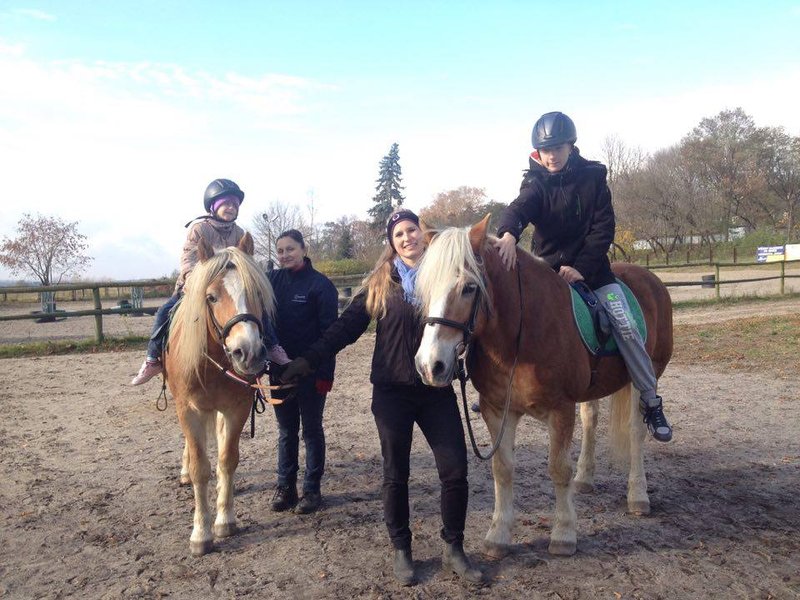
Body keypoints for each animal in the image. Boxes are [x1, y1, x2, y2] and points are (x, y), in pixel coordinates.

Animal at [164, 233, 275, 556]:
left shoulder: (237, 408)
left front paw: (225, 520)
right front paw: (201, 534)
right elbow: (200, 468)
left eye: (257, 293)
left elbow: (227, 459)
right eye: (211, 297)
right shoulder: (187, 410)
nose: (248, 352)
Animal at [414, 216, 673, 558]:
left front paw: (563, 533)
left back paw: (638, 494)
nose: (430, 365)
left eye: (469, 287)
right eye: (425, 288)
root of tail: (650, 279)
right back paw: (585, 478)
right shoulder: (497, 410)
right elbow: (502, 469)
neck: (520, 334)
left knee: (636, 431)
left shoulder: (560, 409)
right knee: (591, 421)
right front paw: (498, 534)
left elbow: (558, 469)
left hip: (647, 373)